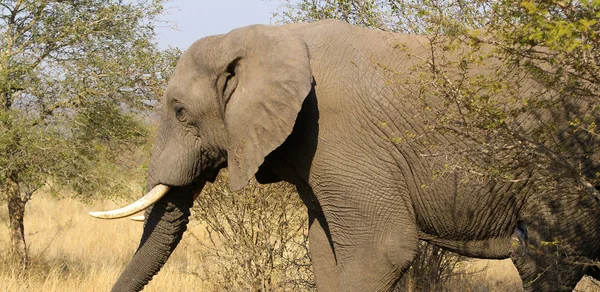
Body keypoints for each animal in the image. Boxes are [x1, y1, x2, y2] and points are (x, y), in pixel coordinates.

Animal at [90, 19, 600, 290]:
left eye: (179, 110)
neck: (269, 37)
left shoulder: (340, 136)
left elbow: (383, 249)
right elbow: (323, 245)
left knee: (547, 261)